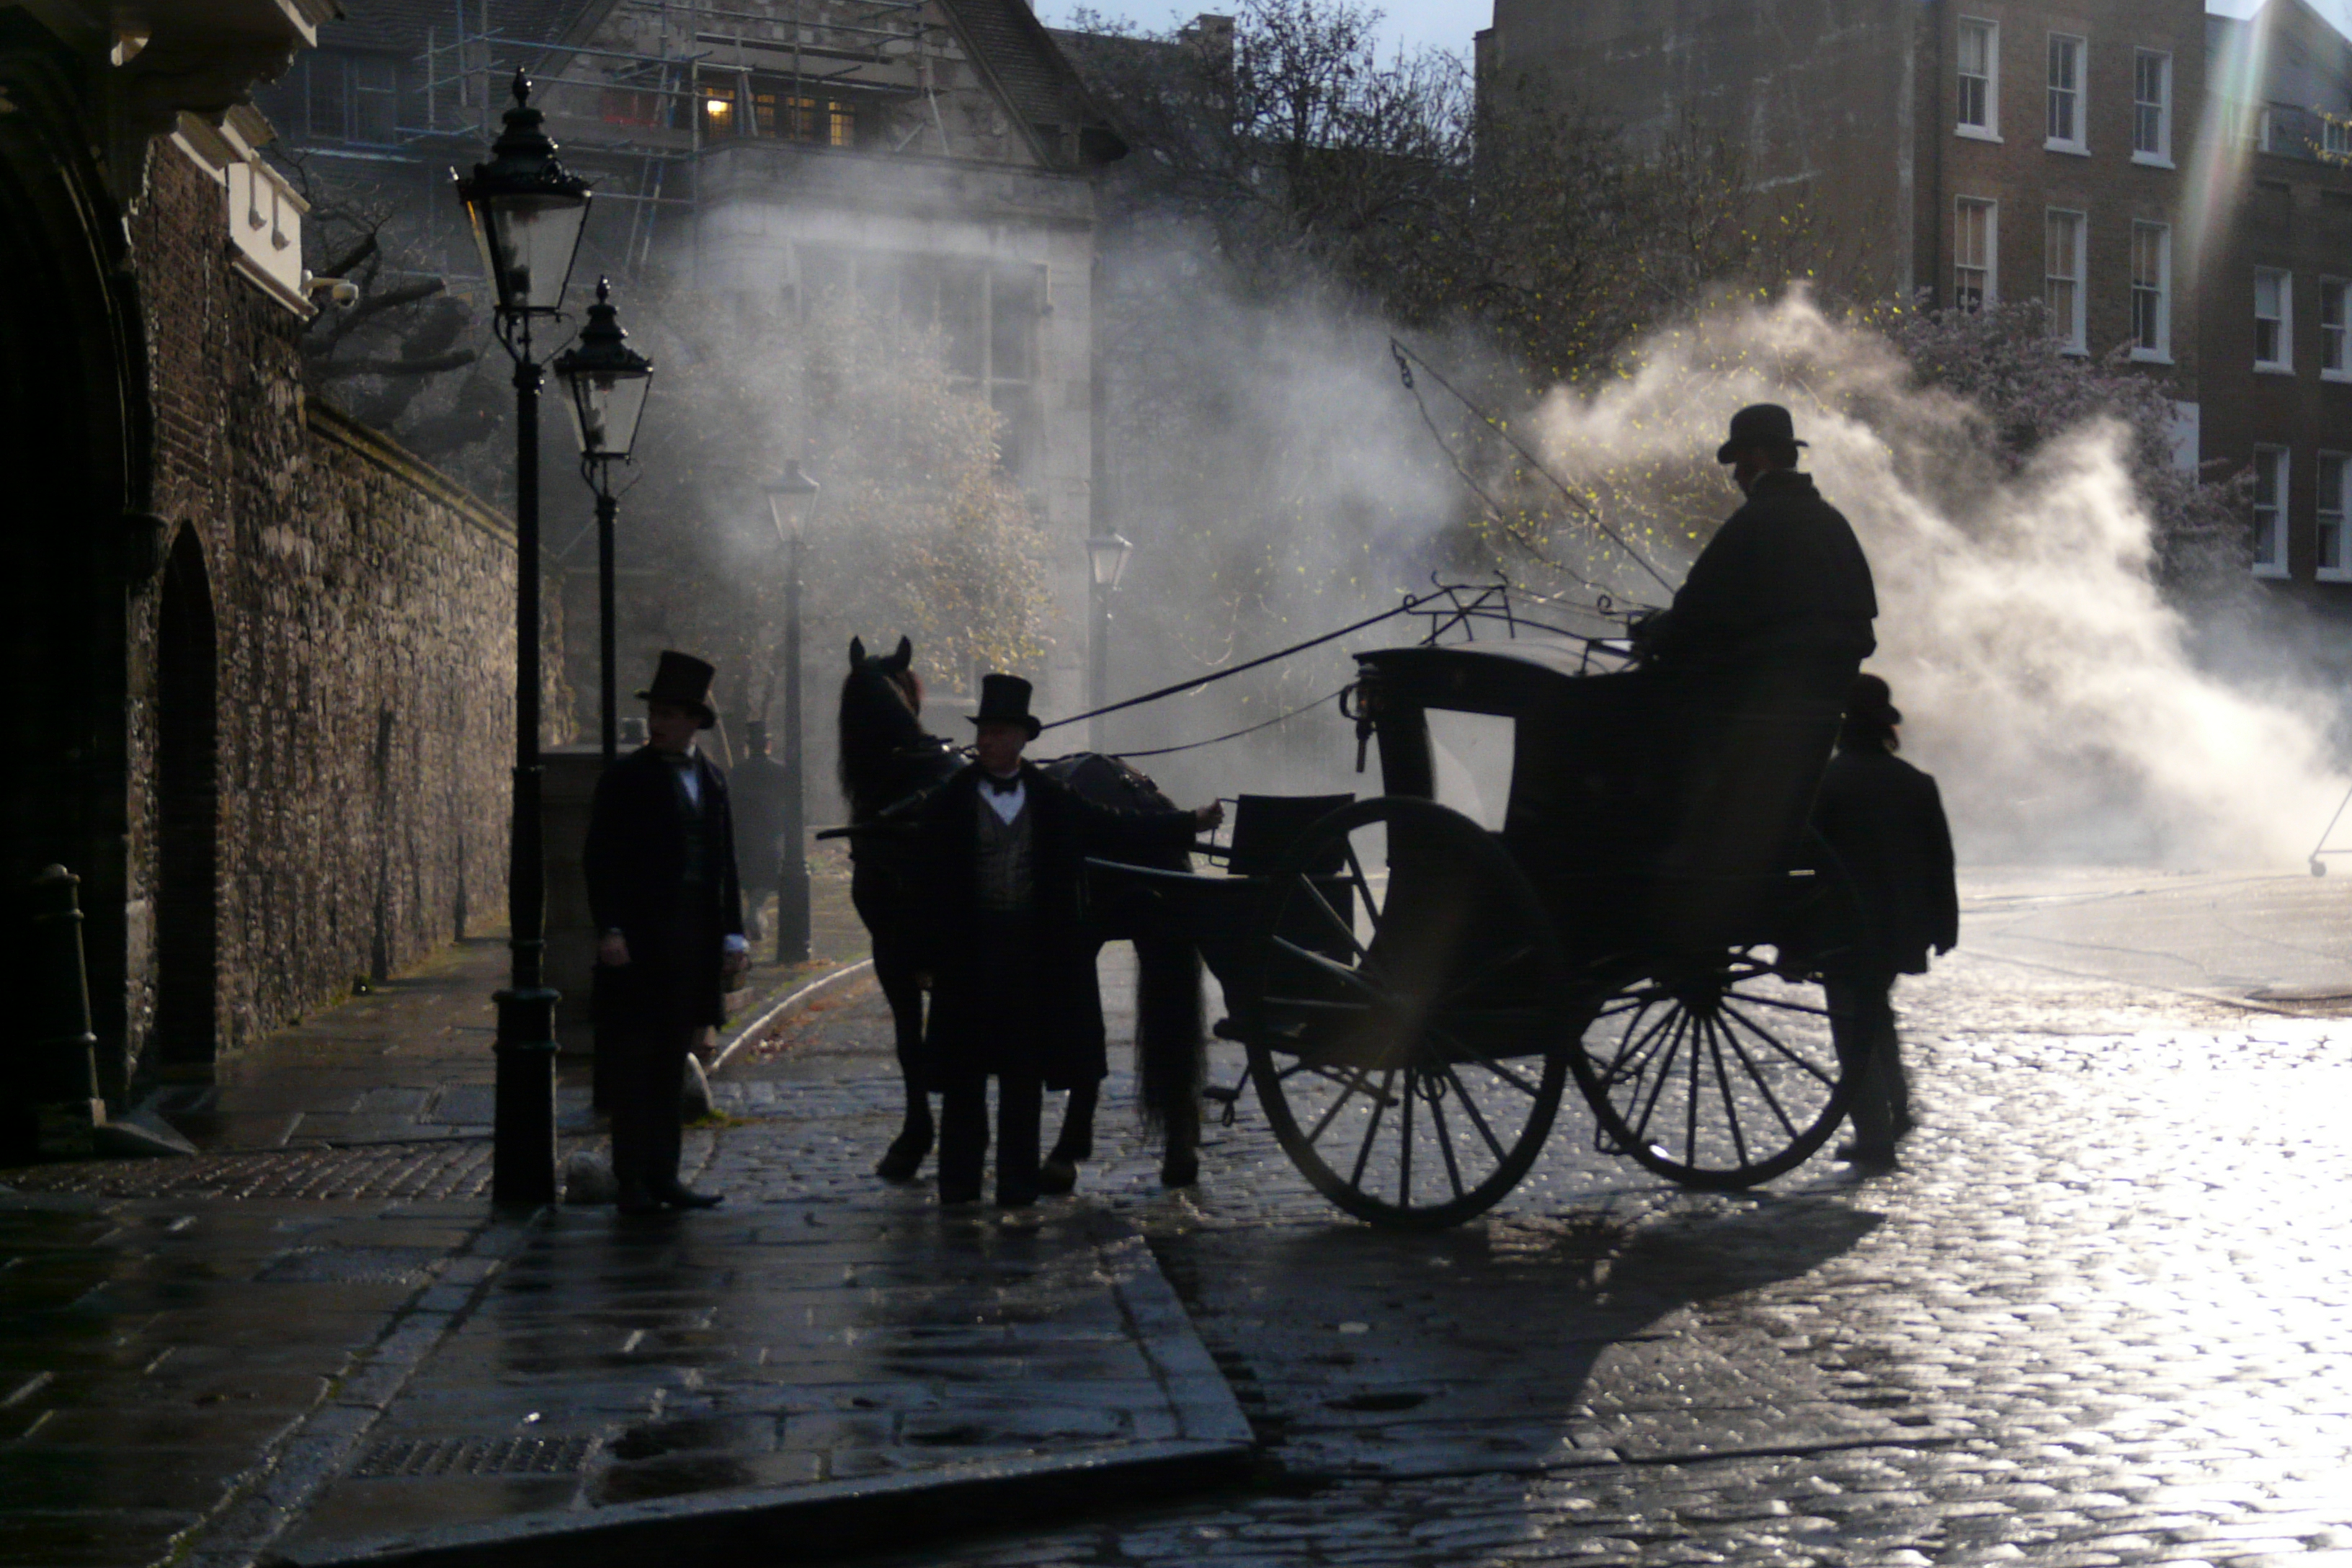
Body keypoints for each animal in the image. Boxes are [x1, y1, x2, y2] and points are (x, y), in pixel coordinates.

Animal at [842, 639, 1204, 1189]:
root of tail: (1137, 790)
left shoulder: (892, 952)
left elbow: (911, 1049)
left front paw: (910, 1145)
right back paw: (1165, 1154)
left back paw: (1064, 1155)